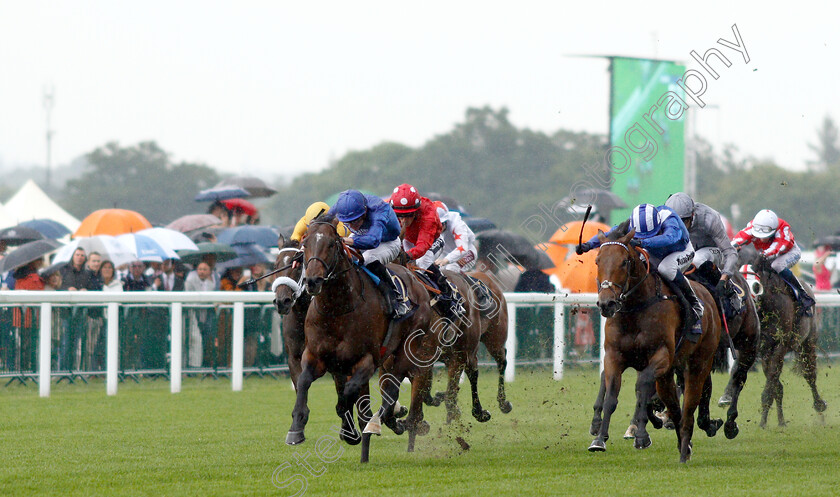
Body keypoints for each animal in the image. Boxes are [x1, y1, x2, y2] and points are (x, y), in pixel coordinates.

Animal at [288, 215, 434, 464]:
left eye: (331, 244)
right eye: (305, 245)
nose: (312, 281)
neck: (338, 309)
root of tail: (416, 280)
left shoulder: (366, 360)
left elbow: (349, 393)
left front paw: (351, 431)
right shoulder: (315, 356)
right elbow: (304, 382)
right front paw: (297, 427)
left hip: (408, 348)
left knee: (392, 388)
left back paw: (385, 422)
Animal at [588, 231, 724, 464]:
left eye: (624, 262)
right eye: (598, 260)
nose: (606, 303)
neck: (635, 308)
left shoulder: (661, 357)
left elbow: (642, 387)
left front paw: (642, 436)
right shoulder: (614, 357)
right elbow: (612, 395)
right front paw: (599, 439)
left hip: (699, 363)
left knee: (689, 405)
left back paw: (684, 446)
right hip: (667, 375)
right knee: (675, 407)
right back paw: (683, 442)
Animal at [752, 256, 824, 426]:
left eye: (755, 285)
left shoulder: (781, 345)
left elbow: (771, 385)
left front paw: (762, 423)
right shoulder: (764, 350)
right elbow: (775, 385)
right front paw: (768, 421)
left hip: (807, 344)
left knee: (810, 375)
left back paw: (820, 408)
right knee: (778, 385)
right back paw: (781, 421)